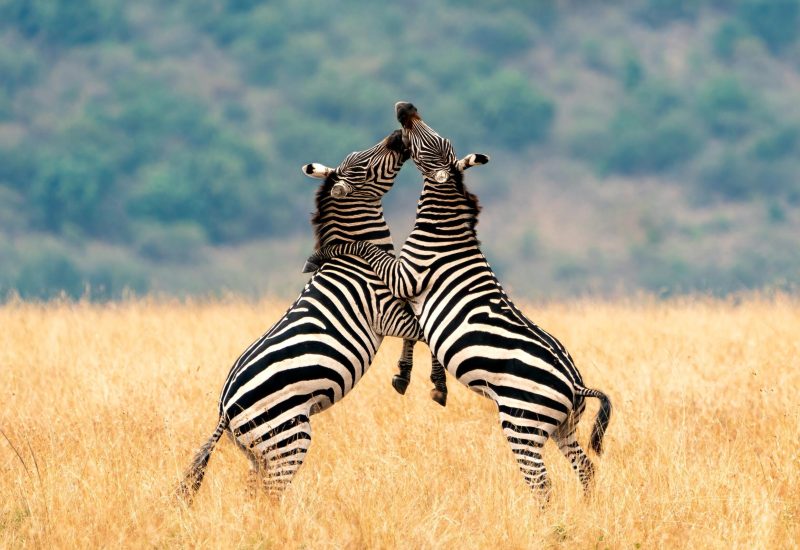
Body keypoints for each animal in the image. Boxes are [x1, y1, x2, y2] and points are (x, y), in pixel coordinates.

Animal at [177, 129, 446, 502]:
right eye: (363, 166)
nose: (397, 136)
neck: (358, 256)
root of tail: (225, 410)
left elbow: (418, 333)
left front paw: (404, 375)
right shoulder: (385, 310)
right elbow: (423, 330)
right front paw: (432, 381)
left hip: (259, 452)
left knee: (253, 497)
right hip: (287, 438)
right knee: (269, 498)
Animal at [304, 103, 612, 500]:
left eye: (428, 144)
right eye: (439, 136)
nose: (405, 109)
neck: (443, 232)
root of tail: (576, 384)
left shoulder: (406, 276)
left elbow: (365, 249)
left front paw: (326, 252)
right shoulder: (410, 292)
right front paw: (417, 378)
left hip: (523, 423)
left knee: (542, 483)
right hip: (563, 427)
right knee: (585, 468)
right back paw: (588, 510)